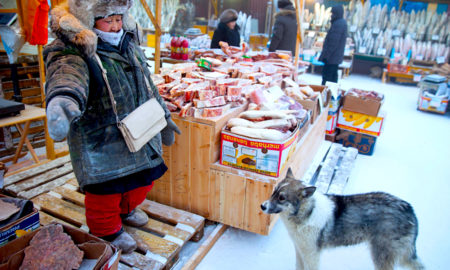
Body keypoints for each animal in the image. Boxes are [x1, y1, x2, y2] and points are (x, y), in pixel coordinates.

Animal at [262, 169, 424, 270]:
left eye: (282, 198)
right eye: (274, 191)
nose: (262, 206)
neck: (307, 213)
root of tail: (409, 209)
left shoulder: (312, 254)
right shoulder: (300, 250)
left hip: (382, 255)